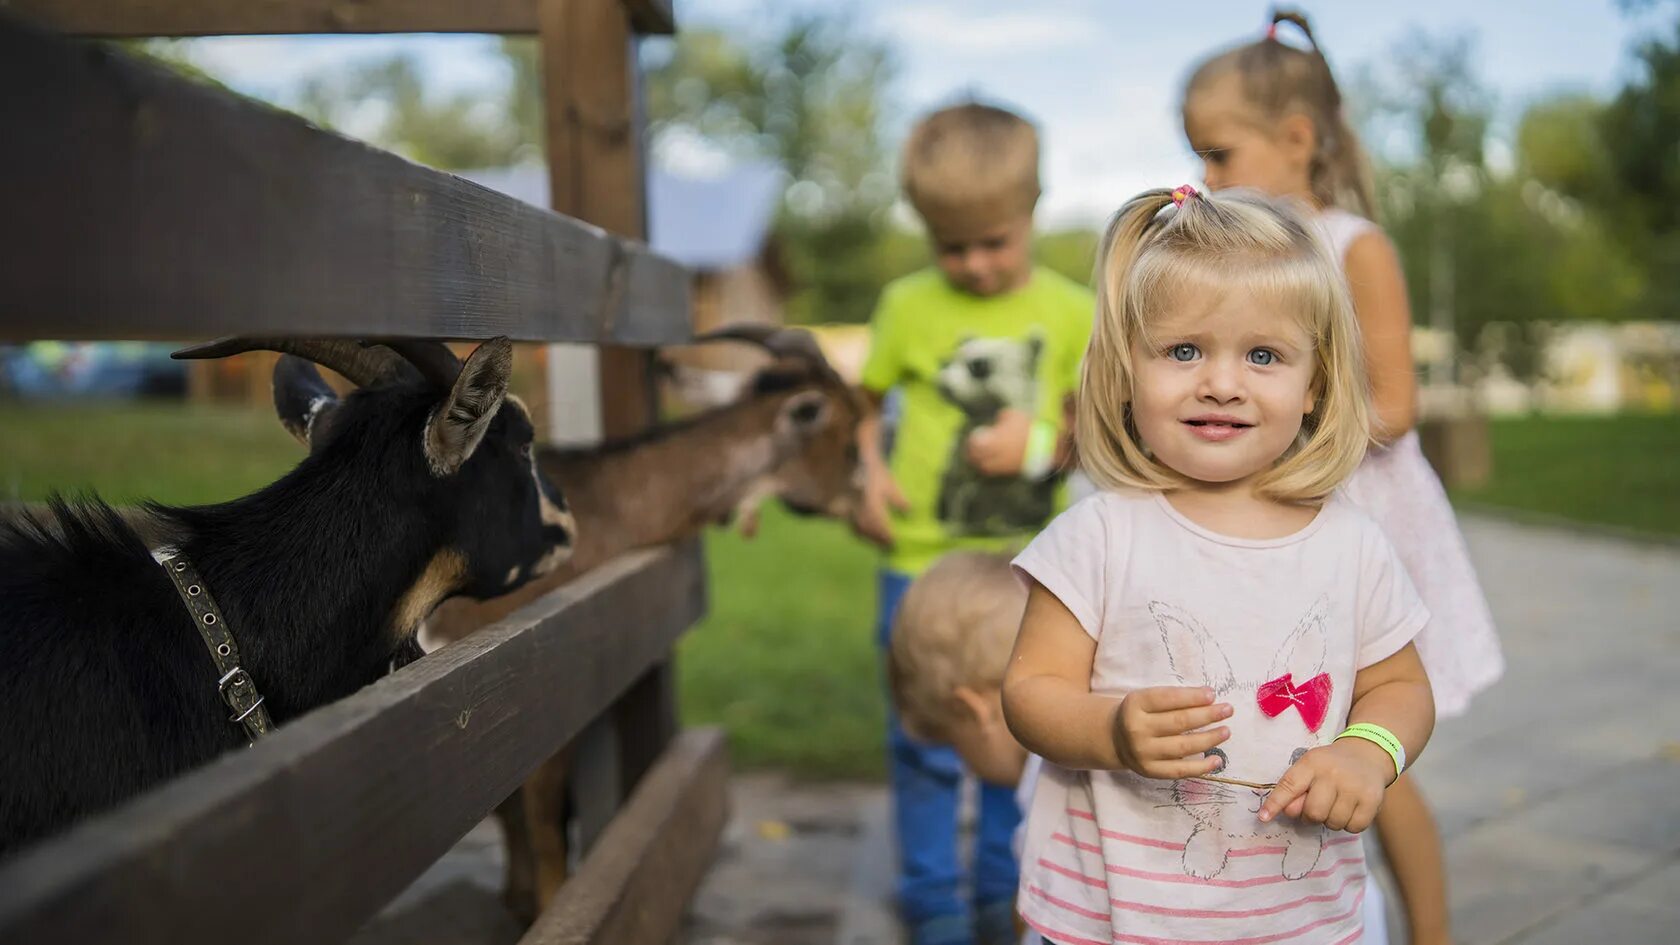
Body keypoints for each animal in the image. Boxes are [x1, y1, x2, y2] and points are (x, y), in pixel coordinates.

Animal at [416, 326, 866, 921]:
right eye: (851, 432)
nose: (865, 503)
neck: (609, 503)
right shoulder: (532, 700)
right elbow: (542, 819)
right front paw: (550, 904)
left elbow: (512, 811)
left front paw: (518, 898)